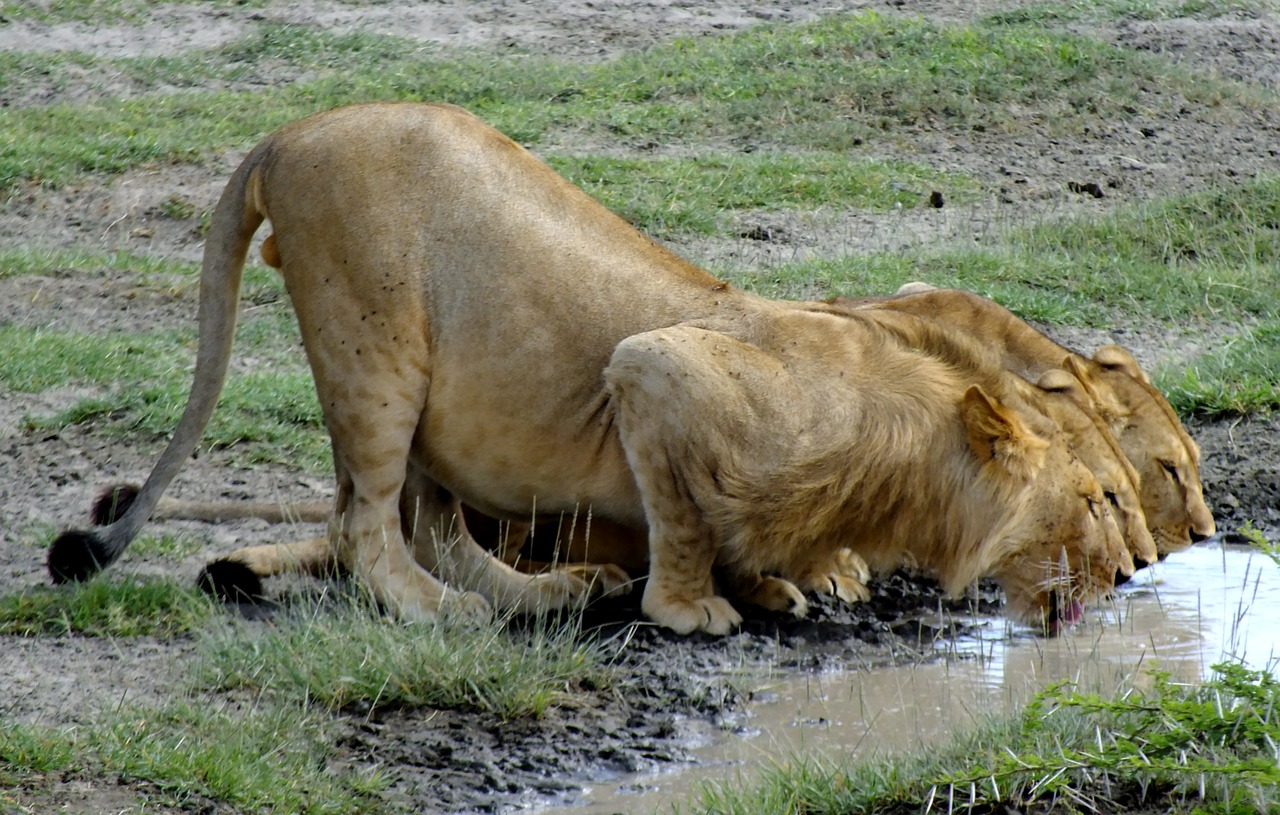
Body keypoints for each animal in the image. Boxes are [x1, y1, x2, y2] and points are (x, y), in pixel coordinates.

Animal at [47, 101, 1121, 632]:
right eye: (1096, 502)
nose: (1123, 575)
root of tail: (283, 134)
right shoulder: (652, 372)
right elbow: (682, 517)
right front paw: (695, 610)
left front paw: (779, 586)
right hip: (373, 342)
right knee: (365, 524)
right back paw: (439, 611)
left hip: (430, 384)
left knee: (428, 523)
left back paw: (542, 592)